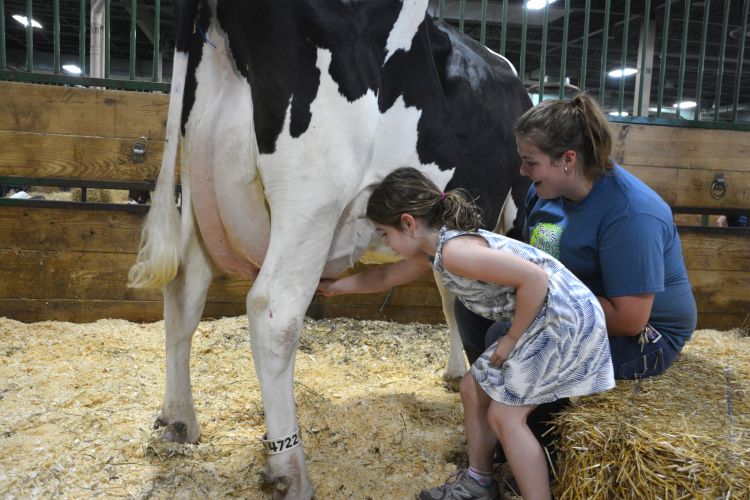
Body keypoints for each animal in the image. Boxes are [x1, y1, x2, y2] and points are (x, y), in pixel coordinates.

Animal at [131, 1, 536, 498]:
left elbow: (452, 296)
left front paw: (459, 372)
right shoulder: (512, 210)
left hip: (196, 185)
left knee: (185, 291)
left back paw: (179, 420)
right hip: (311, 195)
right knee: (273, 311)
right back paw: (289, 471)